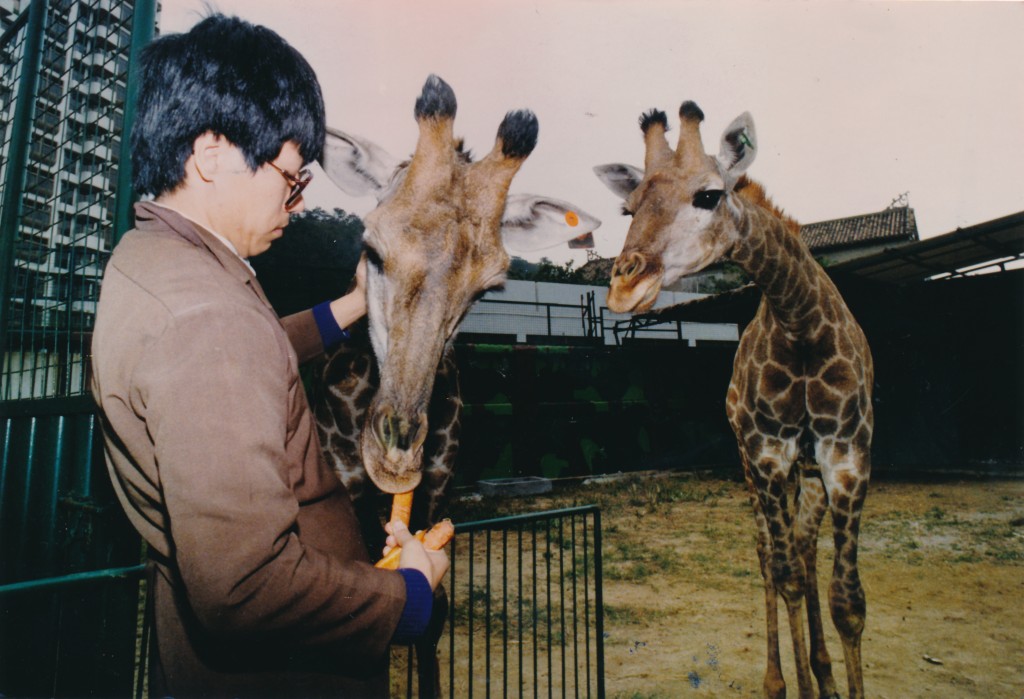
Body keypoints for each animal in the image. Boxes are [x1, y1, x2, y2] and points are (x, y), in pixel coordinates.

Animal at [598, 103, 876, 699]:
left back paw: (823, 672)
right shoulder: (767, 455)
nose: (624, 288)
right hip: (753, 466)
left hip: (807, 473)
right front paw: (793, 683)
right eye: (628, 208)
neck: (798, 319)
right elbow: (785, 576)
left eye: (708, 195)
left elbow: (849, 604)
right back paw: (783, 679)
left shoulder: (847, 457)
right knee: (771, 556)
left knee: (802, 546)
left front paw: (830, 676)